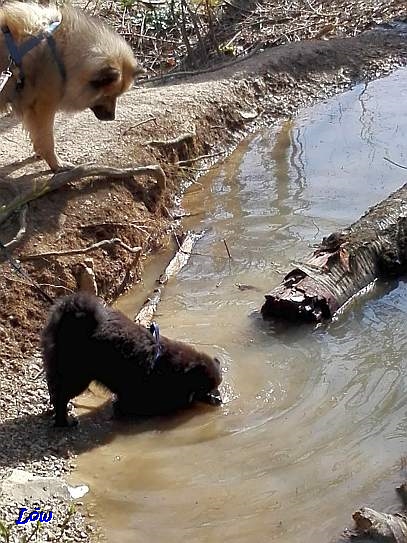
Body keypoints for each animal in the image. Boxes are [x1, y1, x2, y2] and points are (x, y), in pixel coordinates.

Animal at [0, 1, 143, 170]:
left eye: (117, 96)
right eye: (108, 95)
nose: (112, 117)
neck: (61, 55)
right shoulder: (42, 108)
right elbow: (47, 139)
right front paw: (56, 164)